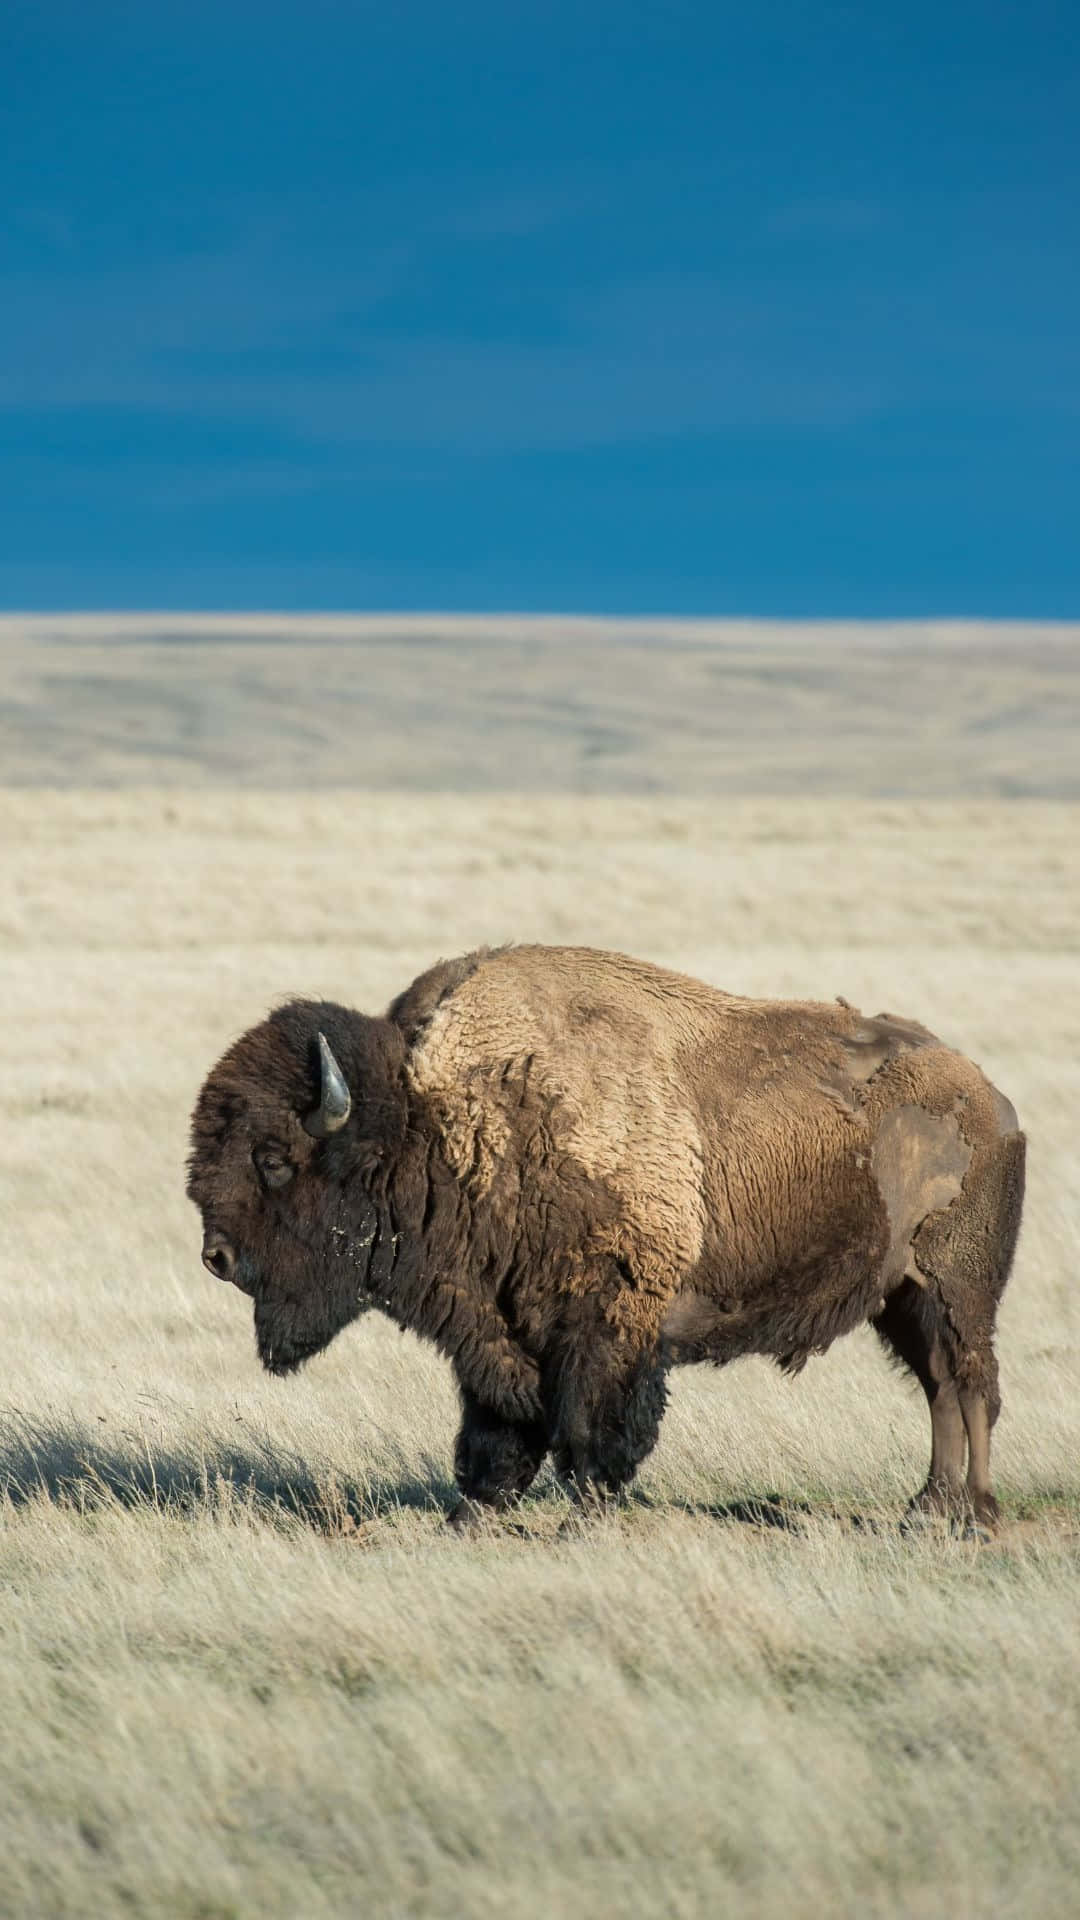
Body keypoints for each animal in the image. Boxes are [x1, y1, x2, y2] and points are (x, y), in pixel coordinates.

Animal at [189, 940, 1022, 1528]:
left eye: (273, 1158)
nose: (217, 1257)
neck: (446, 1116)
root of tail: (990, 1095)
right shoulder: (494, 1330)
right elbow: (495, 1429)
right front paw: (468, 1515)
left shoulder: (607, 1321)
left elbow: (593, 1424)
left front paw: (584, 1515)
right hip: (900, 1297)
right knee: (940, 1387)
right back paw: (927, 1510)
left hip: (956, 1286)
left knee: (968, 1382)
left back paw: (972, 1516)